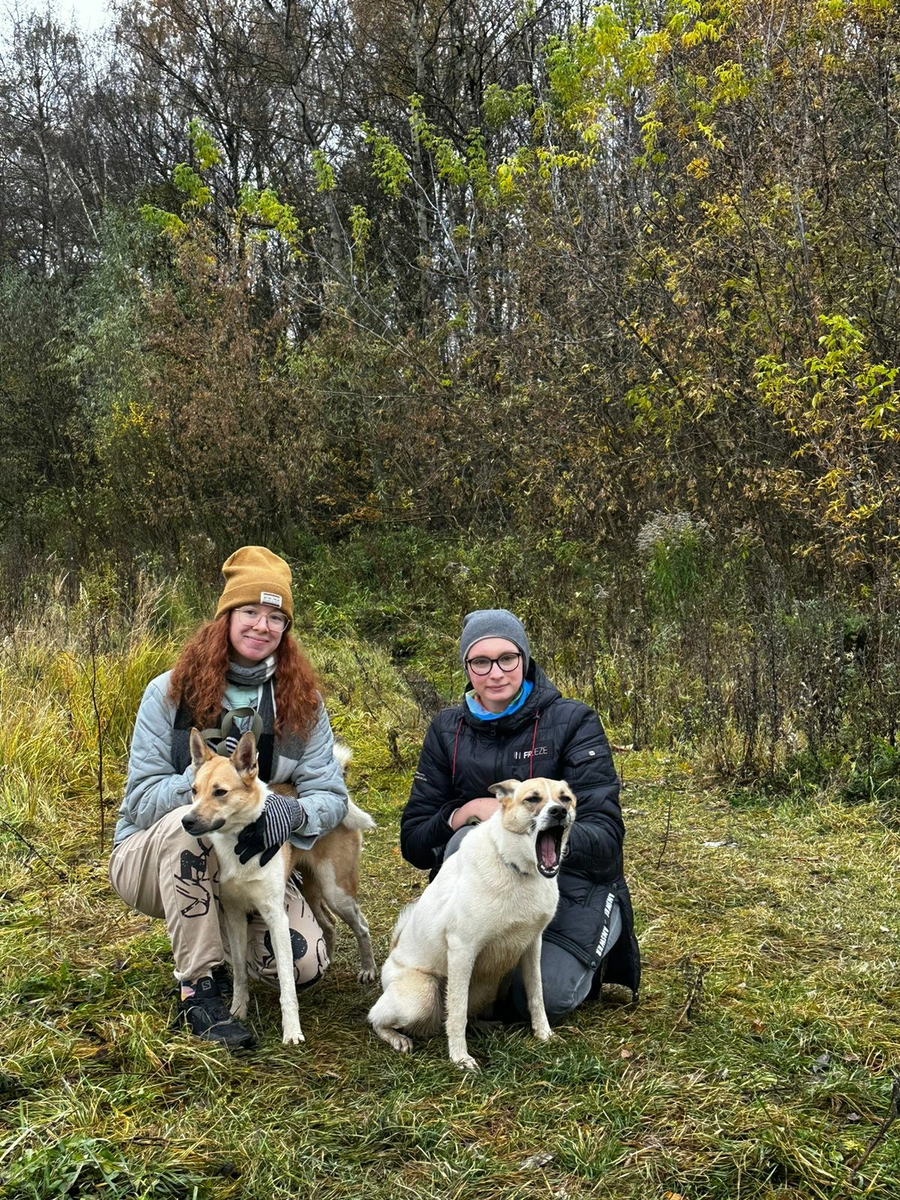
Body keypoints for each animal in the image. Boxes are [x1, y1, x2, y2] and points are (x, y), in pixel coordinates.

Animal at [183, 724, 376, 1046]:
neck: (241, 842)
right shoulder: (234, 916)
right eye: (194, 790)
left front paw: (292, 1030)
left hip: (336, 892)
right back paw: (328, 962)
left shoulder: (276, 918)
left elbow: (286, 983)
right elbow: (240, 971)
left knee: (360, 925)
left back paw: (368, 969)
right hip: (312, 890)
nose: (186, 821)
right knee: (328, 924)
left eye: (220, 792)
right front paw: (238, 1010)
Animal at [367, 777, 578, 1070]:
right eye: (532, 799)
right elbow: (456, 1012)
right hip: (421, 997)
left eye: (565, 798)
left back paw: (484, 1025)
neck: (517, 870)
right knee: (376, 1017)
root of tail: (392, 956)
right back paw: (397, 1038)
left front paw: (543, 1034)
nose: (558, 811)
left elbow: (537, 996)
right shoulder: (462, 949)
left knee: (461, 1014)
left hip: (486, 986)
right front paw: (460, 1058)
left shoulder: (531, 946)